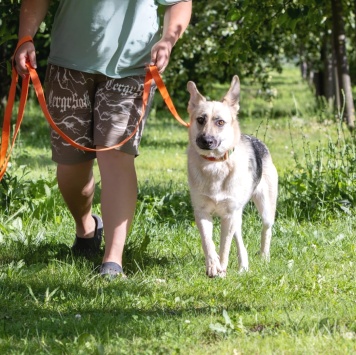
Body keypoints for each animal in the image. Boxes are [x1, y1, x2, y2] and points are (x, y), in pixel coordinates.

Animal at [186, 76, 278, 278]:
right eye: (200, 120)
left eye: (220, 122)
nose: (206, 141)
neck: (215, 164)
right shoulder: (202, 213)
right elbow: (208, 243)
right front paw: (213, 265)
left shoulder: (229, 214)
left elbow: (224, 248)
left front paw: (221, 268)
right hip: (236, 214)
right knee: (239, 237)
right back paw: (243, 264)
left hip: (265, 208)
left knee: (266, 230)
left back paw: (264, 256)